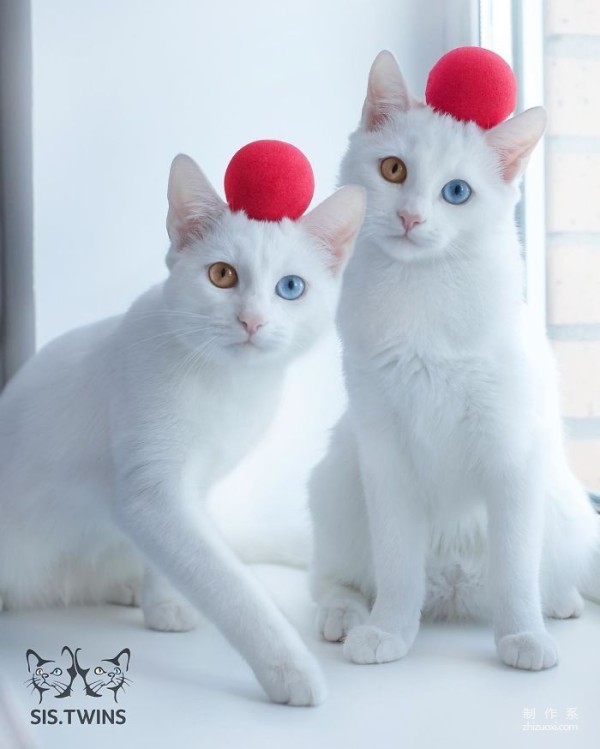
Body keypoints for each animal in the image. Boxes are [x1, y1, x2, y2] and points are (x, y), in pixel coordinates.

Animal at [0, 153, 366, 708]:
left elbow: (183, 557)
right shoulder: (151, 496)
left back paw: (125, 585)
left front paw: (162, 602)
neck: (226, 385)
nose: (252, 320)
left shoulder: (191, 490)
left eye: (291, 287)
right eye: (221, 274)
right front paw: (291, 668)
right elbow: (225, 583)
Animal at [310, 52, 600, 672]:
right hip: (336, 482)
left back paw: (557, 604)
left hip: (564, 506)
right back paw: (346, 617)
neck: (420, 296)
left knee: (533, 574)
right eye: (393, 169)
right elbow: (397, 567)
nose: (411, 218)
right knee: (333, 580)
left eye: (457, 191)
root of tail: (453, 588)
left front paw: (523, 636)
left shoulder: (513, 455)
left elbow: (515, 567)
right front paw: (389, 631)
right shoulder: (385, 457)